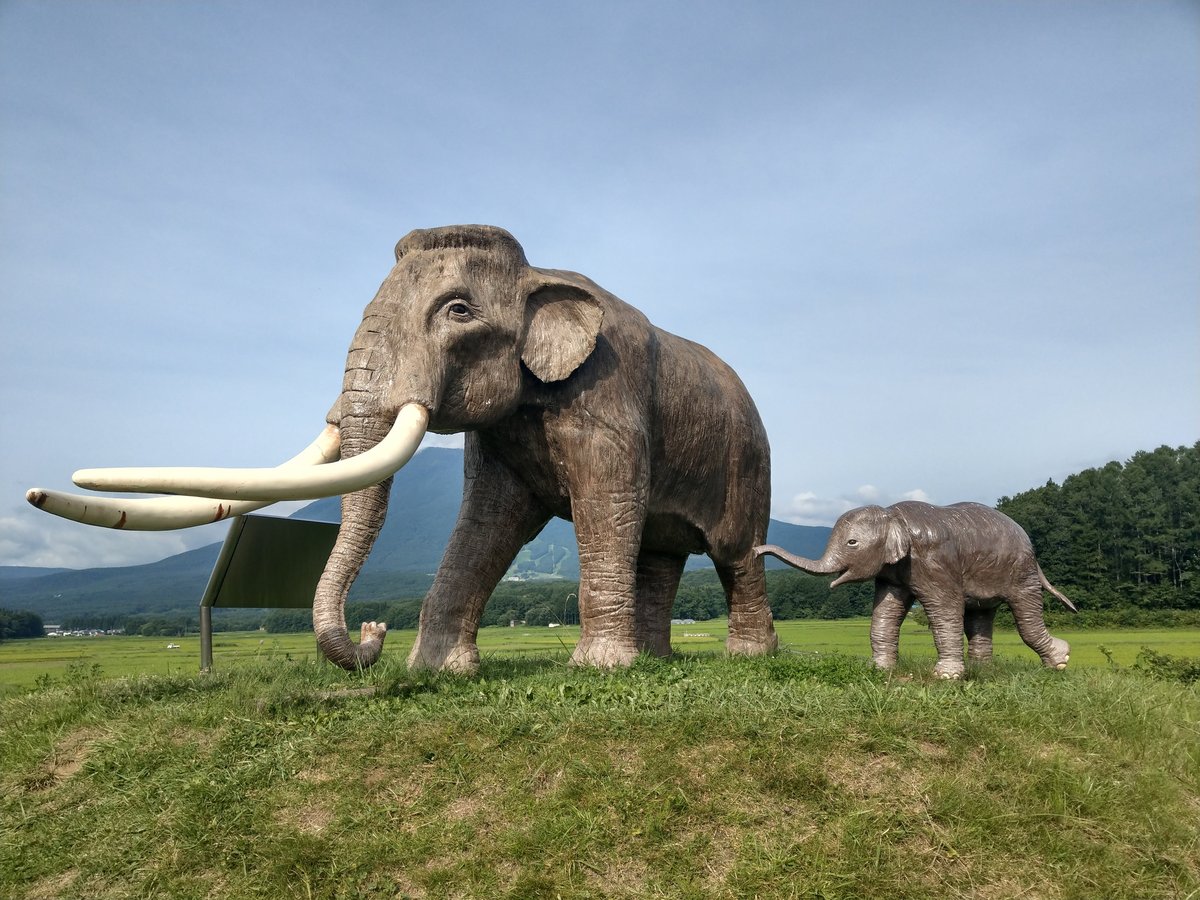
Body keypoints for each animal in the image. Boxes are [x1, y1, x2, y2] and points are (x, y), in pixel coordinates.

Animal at [27, 224, 777, 673]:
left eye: (458, 311)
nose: (372, 633)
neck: (535, 272)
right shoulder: (499, 436)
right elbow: (486, 524)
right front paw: (438, 671)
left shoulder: (607, 392)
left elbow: (603, 507)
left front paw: (600, 671)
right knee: (660, 555)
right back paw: (661, 661)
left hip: (750, 459)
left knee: (734, 552)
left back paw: (745, 658)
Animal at [755, 501, 1075, 678]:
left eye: (852, 543)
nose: (756, 550)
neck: (892, 515)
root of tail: (1028, 542)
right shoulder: (894, 572)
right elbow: (885, 612)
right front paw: (879, 670)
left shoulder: (935, 561)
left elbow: (945, 608)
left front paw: (946, 677)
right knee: (980, 618)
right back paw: (983, 671)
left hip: (1020, 571)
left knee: (1025, 614)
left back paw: (1060, 662)